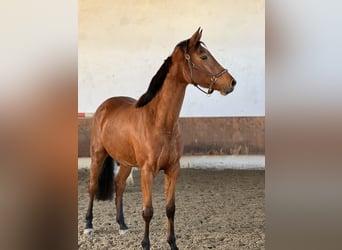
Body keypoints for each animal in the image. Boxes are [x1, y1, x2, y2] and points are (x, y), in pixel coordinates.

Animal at [84, 28, 236, 249]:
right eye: (204, 56)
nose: (231, 83)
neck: (160, 122)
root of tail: (104, 106)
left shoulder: (173, 170)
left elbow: (170, 208)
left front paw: (173, 244)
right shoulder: (147, 171)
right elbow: (148, 211)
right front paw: (145, 244)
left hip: (126, 163)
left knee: (119, 186)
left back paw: (122, 225)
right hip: (98, 155)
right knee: (92, 186)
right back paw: (88, 225)